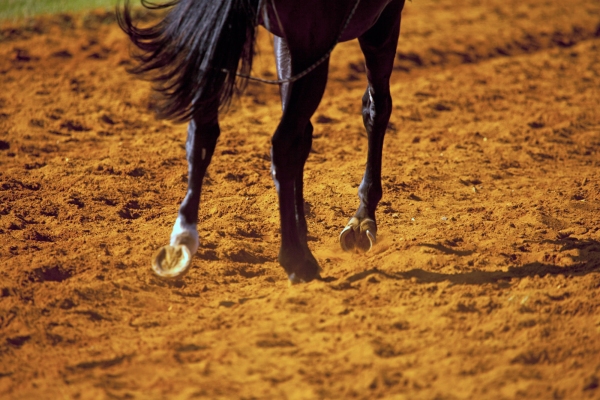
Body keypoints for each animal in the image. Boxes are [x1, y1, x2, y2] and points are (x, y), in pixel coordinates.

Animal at [117, 0, 408, 282]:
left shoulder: (284, 40)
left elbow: (305, 136)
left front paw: (304, 228)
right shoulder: (382, 18)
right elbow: (376, 109)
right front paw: (362, 220)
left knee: (202, 133)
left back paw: (182, 241)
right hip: (315, 43)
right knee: (283, 142)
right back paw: (297, 260)